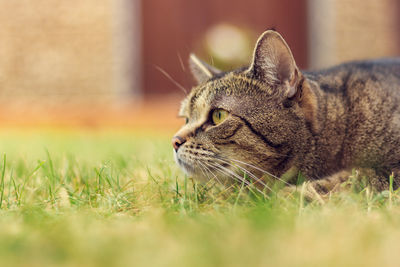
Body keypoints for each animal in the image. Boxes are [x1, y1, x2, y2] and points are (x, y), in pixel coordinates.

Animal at [172, 30, 400, 197]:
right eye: (186, 119)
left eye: (218, 116)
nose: (174, 141)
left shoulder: (390, 170)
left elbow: (354, 177)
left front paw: (283, 198)